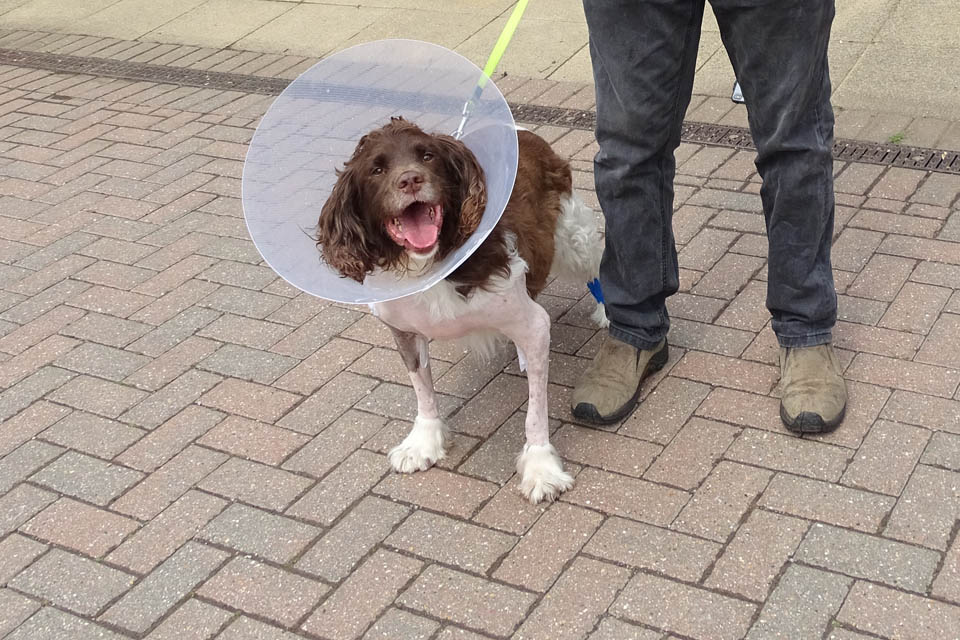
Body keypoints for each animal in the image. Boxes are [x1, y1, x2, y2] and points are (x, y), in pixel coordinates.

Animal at [318, 117, 604, 502]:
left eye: (427, 156)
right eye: (376, 169)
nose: (411, 180)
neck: (431, 262)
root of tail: (520, 128)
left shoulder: (532, 325)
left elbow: (535, 411)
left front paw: (541, 468)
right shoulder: (403, 330)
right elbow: (422, 388)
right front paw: (423, 442)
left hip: (571, 235)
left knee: (598, 263)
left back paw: (607, 314)